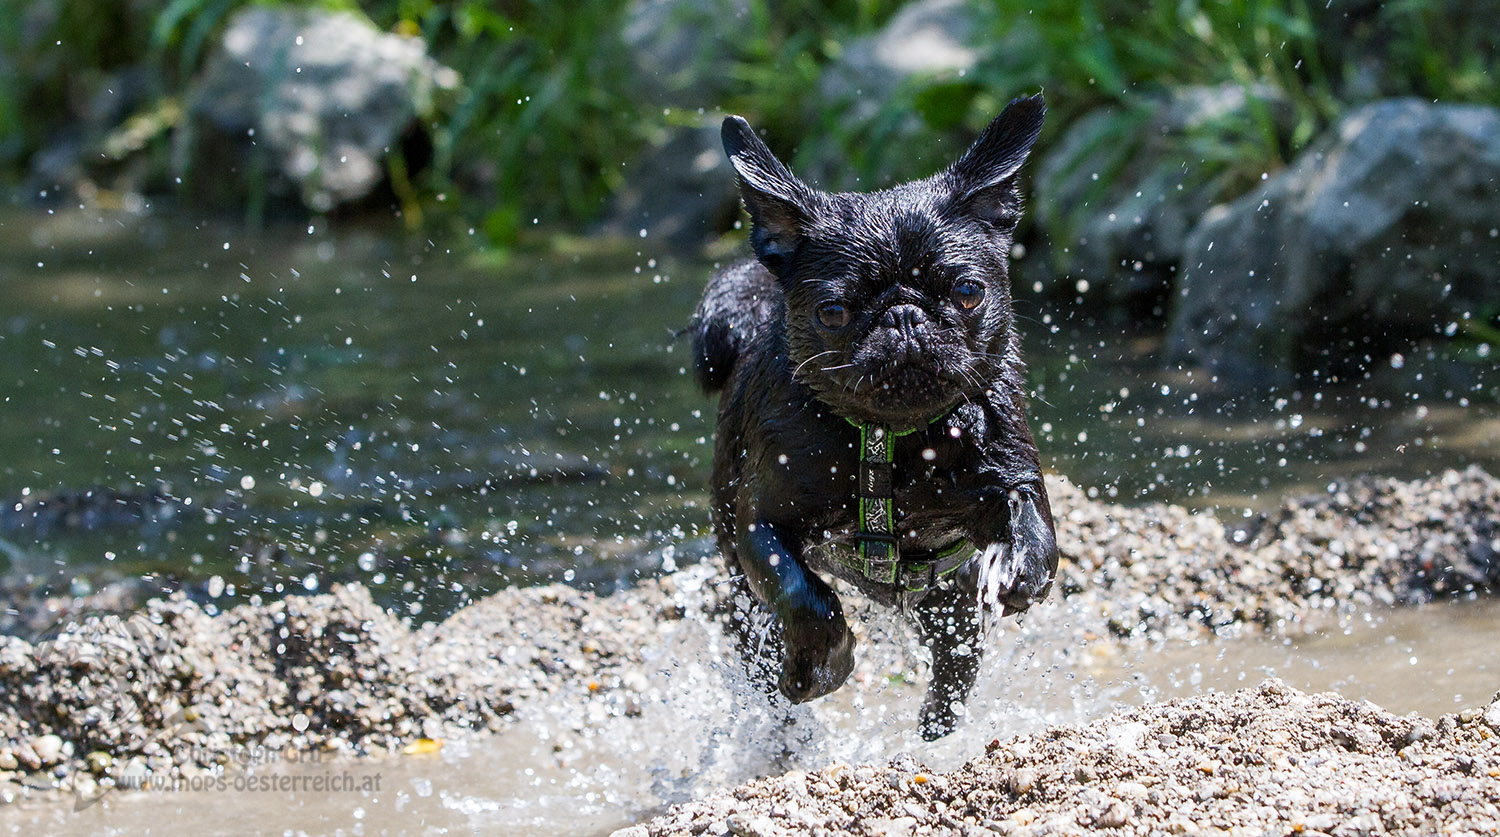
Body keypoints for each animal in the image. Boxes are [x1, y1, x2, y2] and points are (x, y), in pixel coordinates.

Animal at [687, 96, 1056, 741]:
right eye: (833, 311)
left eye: (968, 292)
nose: (903, 315)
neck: (893, 440)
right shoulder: (761, 526)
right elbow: (802, 596)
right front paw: (823, 664)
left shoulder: (1008, 469)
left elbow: (1030, 517)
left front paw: (1022, 565)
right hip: (738, 579)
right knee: (764, 638)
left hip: (945, 602)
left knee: (955, 657)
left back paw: (937, 724)